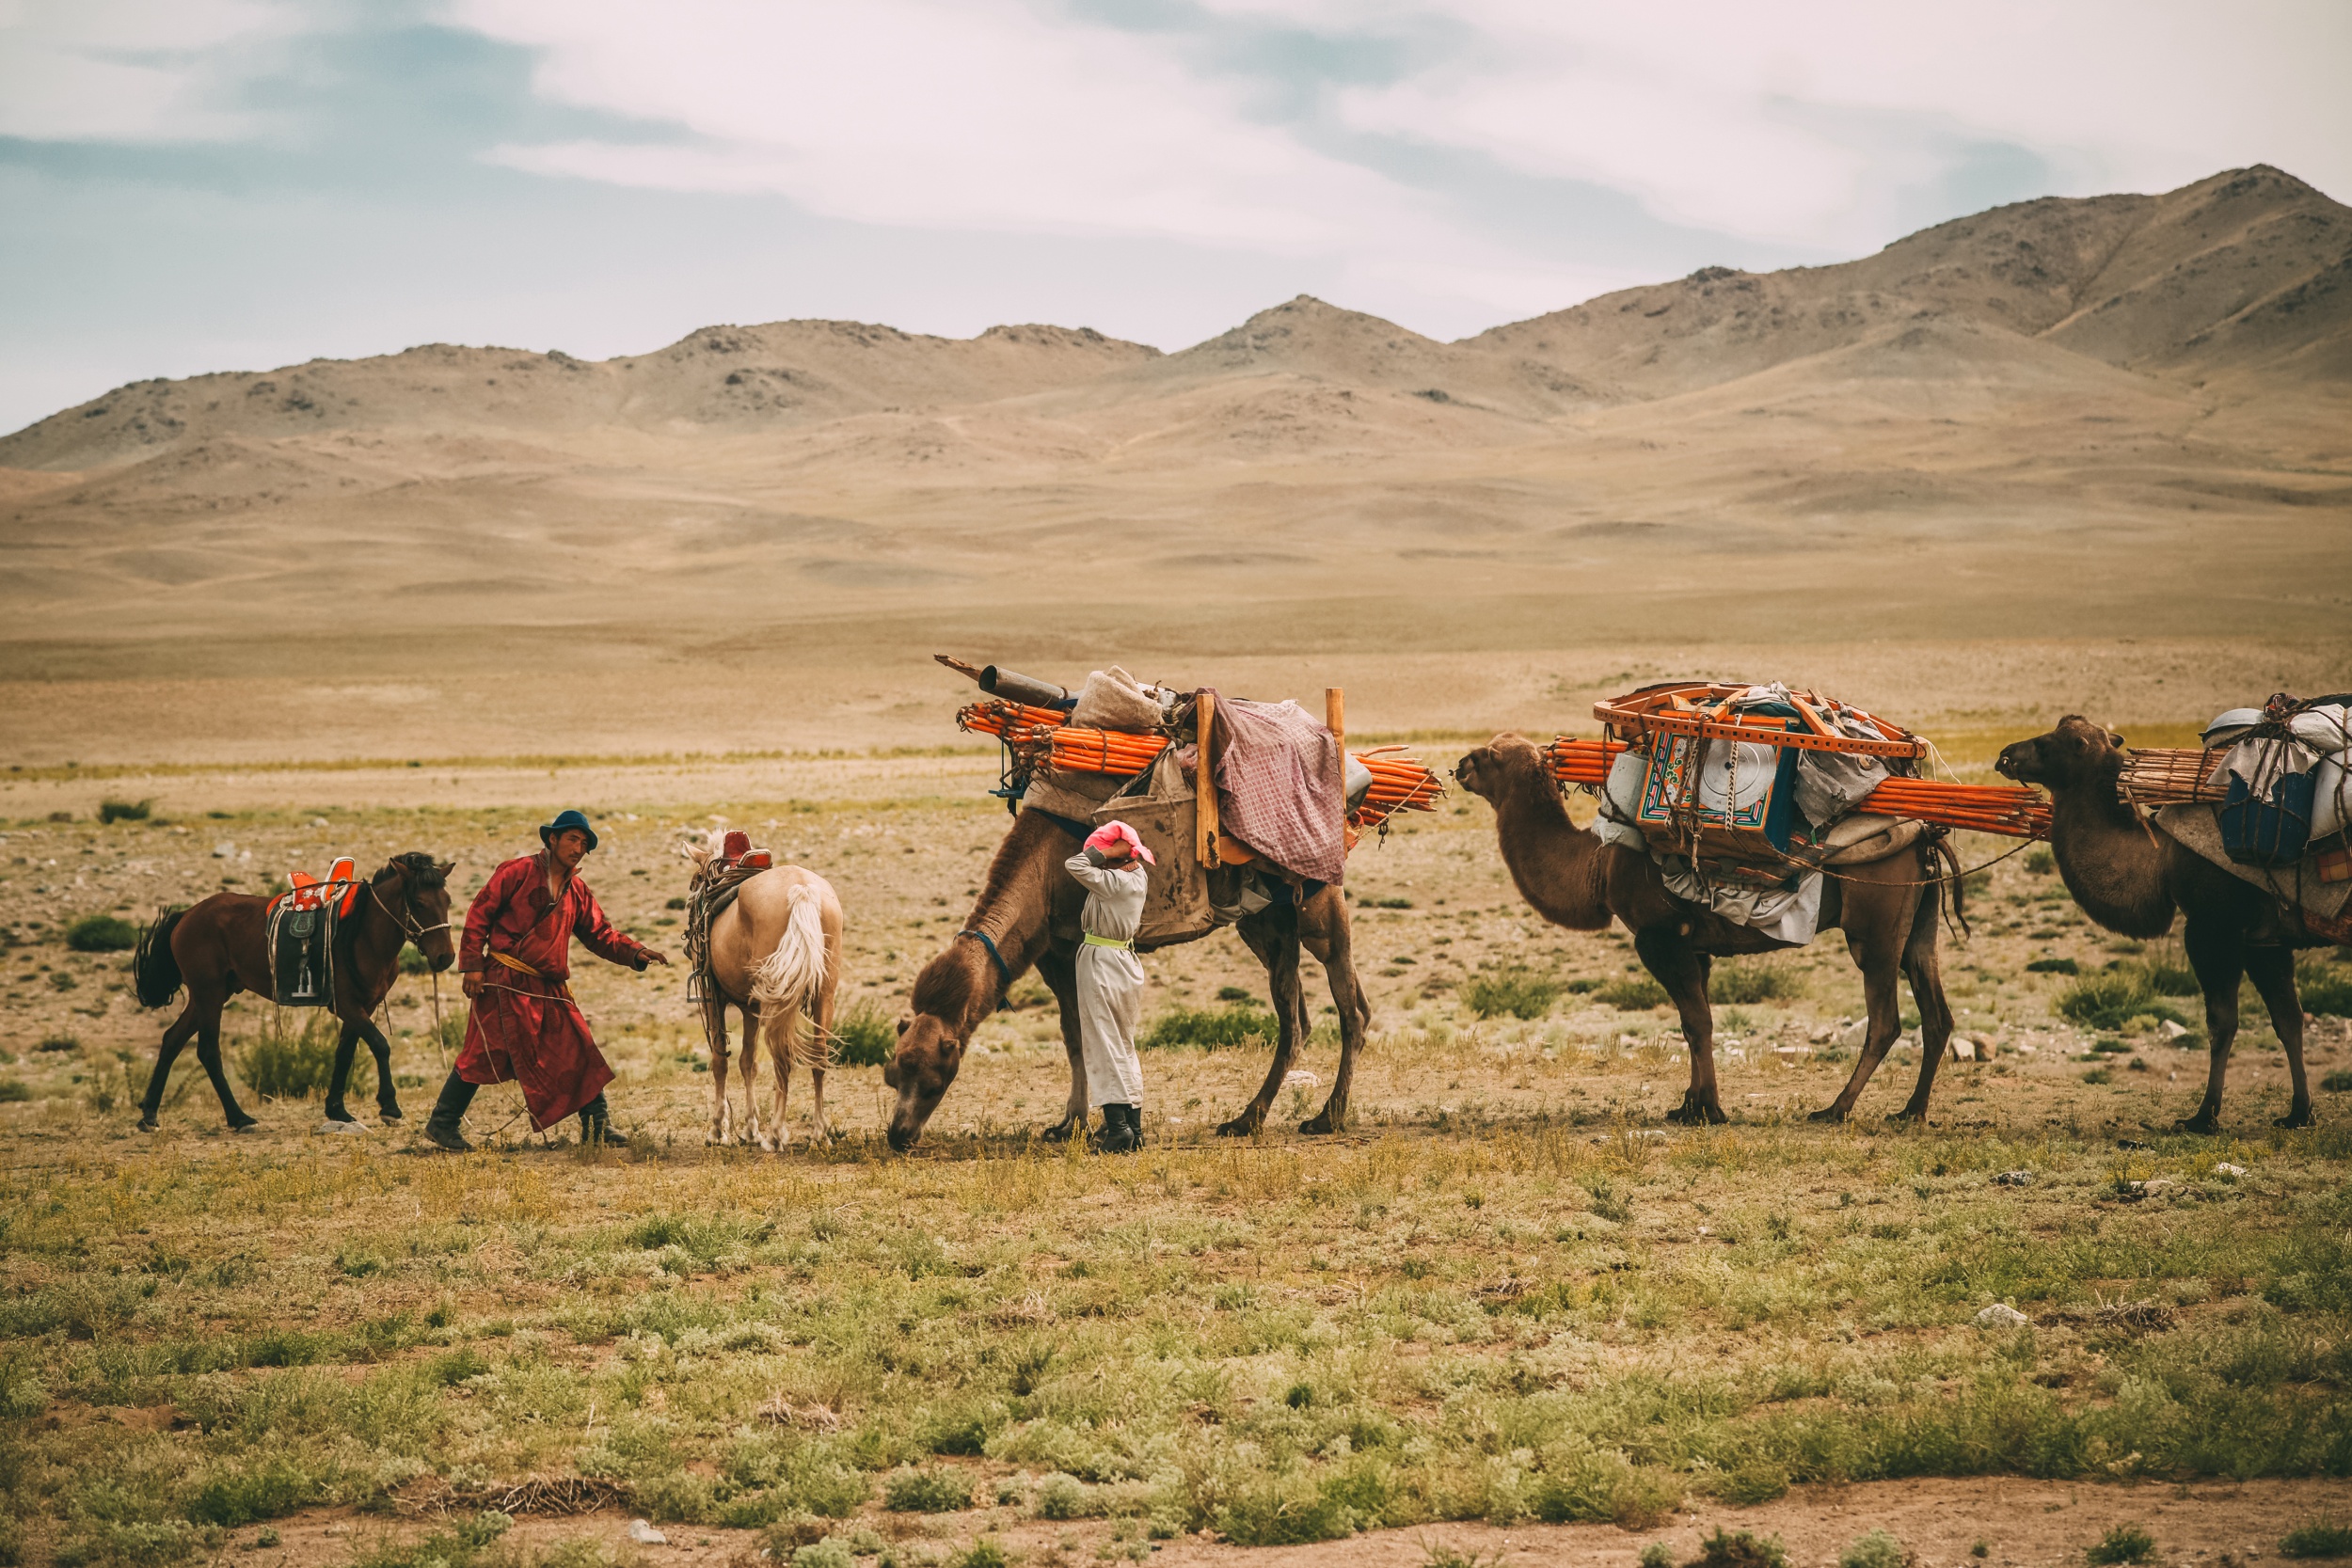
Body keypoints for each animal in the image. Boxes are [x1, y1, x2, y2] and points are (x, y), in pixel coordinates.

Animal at [682, 832, 847, 1151]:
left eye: (696, 881)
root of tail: (802, 889)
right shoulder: (751, 1006)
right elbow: (749, 1062)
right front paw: (749, 1129)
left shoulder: (712, 996)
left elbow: (721, 1060)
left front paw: (719, 1130)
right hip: (823, 994)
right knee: (818, 1056)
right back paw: (820, 1132)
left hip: (778, 999)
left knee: (782, 1058)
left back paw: (777, 1133)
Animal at [884, 808, 1374, 1151]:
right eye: (893, 1074)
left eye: (935, 1082)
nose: (898, 1135)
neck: (1041, 877)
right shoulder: (1050, 953)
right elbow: (1072, 1036)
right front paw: (1068, 1124)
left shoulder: (1068, 946)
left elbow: (1084, 1035)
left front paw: (1084, 1125)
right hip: (1266, 920)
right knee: (1312, 1015)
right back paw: (1263, 1117)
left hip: (1315, 904)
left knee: (1342, 1010)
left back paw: (1310, 1118)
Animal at [1449, 737, 1966, 1128]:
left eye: (1491, 755)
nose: (1458, 765)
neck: (1598, 864)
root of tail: (1925, 834)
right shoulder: (1696, 948)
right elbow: (1693, 1022)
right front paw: (1689, 1105)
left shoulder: (1659, 937)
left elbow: (1698, 1022)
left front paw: (1710, 1110)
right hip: (1918, 924)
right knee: (1936, 1012)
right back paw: (1911, 1111)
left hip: (1874, 928)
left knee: (1886, 1020)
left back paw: (1834, 1109)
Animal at [1994, 709, 2324, 1128]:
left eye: (2047, 743)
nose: (2004, 754)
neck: (2163, 858)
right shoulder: (2265, 936)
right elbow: (2288, 1019)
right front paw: (2299, 1112)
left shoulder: (2213, 926)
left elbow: (2222, 1022)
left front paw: (2203, 1116)